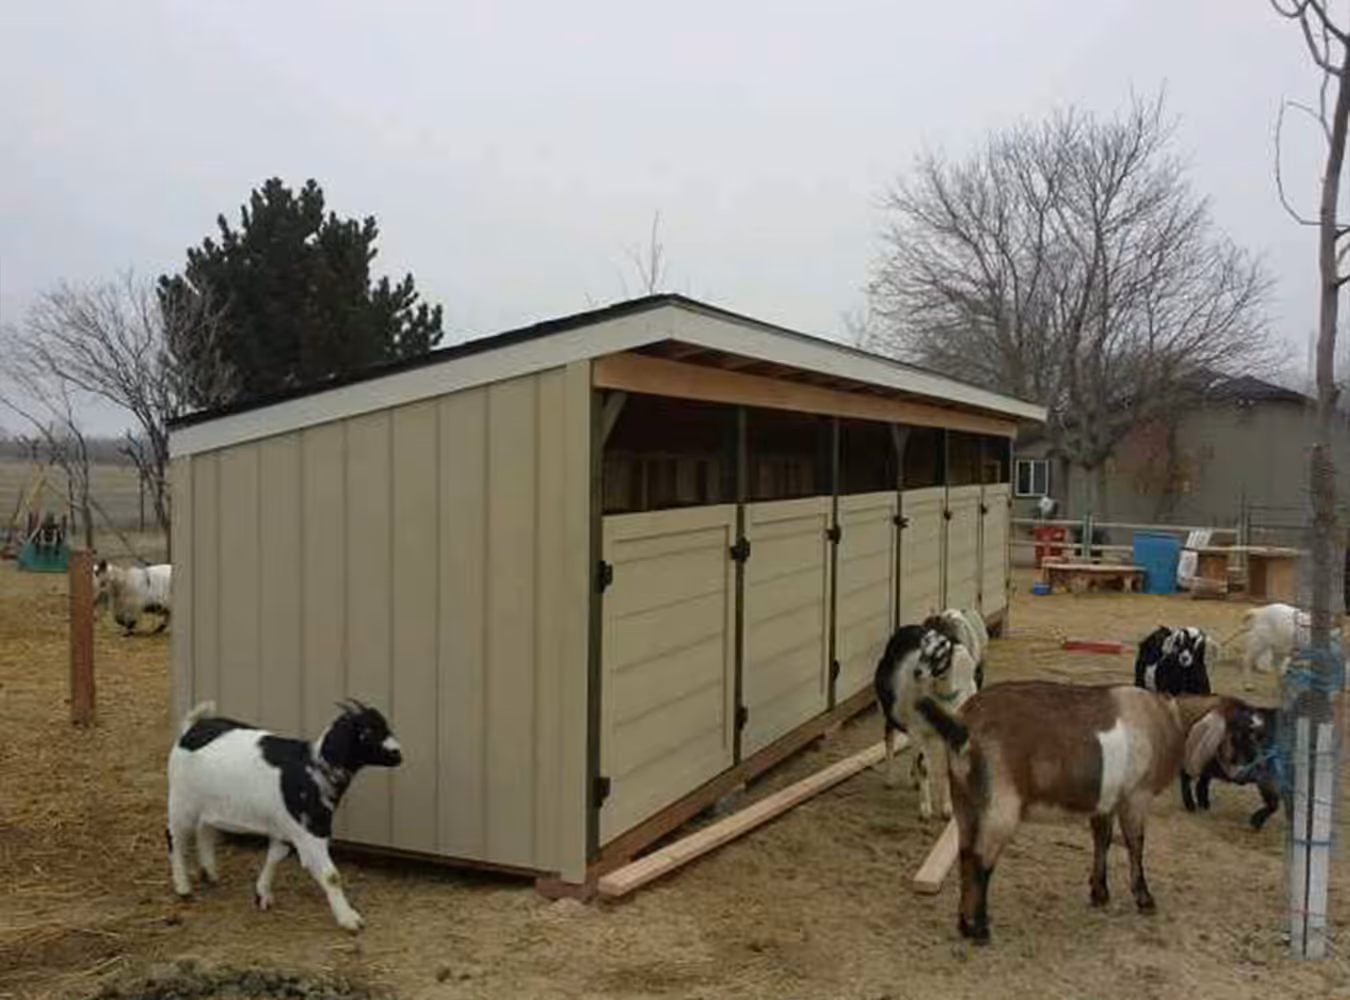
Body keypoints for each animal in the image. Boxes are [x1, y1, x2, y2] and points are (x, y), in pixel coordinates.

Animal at [166, 699, 403, 932]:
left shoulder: (285, 826)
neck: (313, 772)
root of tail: (191, 729)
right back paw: (183, 887)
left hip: (208, 803)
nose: (398, 754)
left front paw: (262, 893)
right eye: (367, 731)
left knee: (204, 829)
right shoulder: (310, 830)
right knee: (174, 837)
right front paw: (349, 919)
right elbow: (331, 876)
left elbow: (275, 856)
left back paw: (210, 872)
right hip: (180, 801)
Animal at [874, 624, 979, 820]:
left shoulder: (949, 736)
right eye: (922, 650)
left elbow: (946, 769)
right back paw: (889, 779)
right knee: (890, 739)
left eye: (940, 654)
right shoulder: (918, 730)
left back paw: (913, 779)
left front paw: (947, 809)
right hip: (891, 711)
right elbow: (924, 766)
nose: (917, 672)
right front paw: (925, 810)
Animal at [917, 682, 1222, 944]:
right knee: (980, 860)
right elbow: (1135, 845)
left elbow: (1102, 840)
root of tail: (962, 728)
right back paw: (979, 929)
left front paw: (1099, 893)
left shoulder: (1105, 803)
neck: (1167, 719)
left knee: (966, 854)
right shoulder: (1135, 797)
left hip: (966, 804)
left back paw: (963, 924)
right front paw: (1144, 898)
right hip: (999, 808)